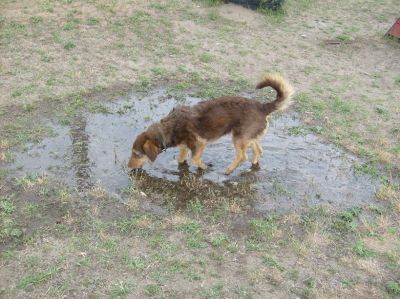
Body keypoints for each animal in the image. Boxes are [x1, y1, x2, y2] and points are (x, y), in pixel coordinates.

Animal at [128, 73, 294, 175]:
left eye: (137, 154)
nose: (128, 167)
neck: (168, 129)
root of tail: (263, 107)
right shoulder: (184, 147)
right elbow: (181, 159)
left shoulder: (200, 143)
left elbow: (195, 159)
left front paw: (204, 167)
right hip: (248, 137)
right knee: (259, 151)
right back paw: (253, 165)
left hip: (238, 138)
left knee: (242, 156)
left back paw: (229, 170)